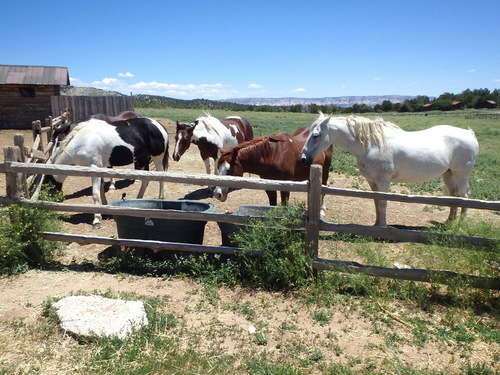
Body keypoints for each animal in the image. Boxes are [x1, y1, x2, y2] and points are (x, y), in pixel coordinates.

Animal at [298, 113, 478, 228]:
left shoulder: (383, 181)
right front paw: (376, 224)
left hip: (461, 174)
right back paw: (449, 221)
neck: (371, 145)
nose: (303, 159)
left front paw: (383, 227)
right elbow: (376, 202)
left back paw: (460, 224)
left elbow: (383, 203)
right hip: (448, 173)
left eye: (315, 135)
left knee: (465, 195)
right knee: (454, 195)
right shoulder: (372, 181)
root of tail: (469, 134)